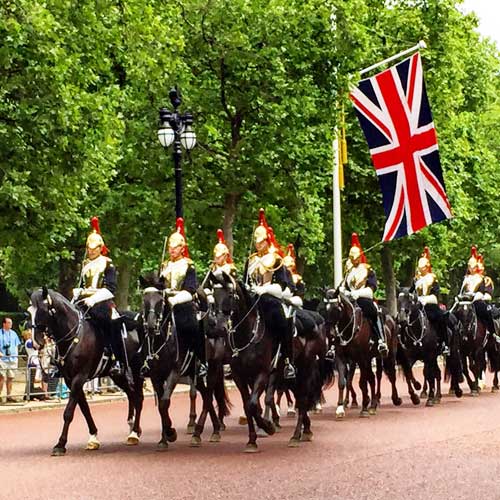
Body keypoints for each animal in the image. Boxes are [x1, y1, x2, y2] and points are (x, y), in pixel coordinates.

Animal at [28, 288, 144, 456]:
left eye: (43, 310)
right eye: (28, 311)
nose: (36, 343)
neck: (74, 335)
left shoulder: (79, 377)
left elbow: (69, 412)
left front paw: (60, 444)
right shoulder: (70, 380)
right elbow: (84, 409)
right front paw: (93, 437)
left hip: (136, 371)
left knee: (139, 397)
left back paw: (134, 433)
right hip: (117, 375)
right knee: (131, 394)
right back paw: (133, 427)